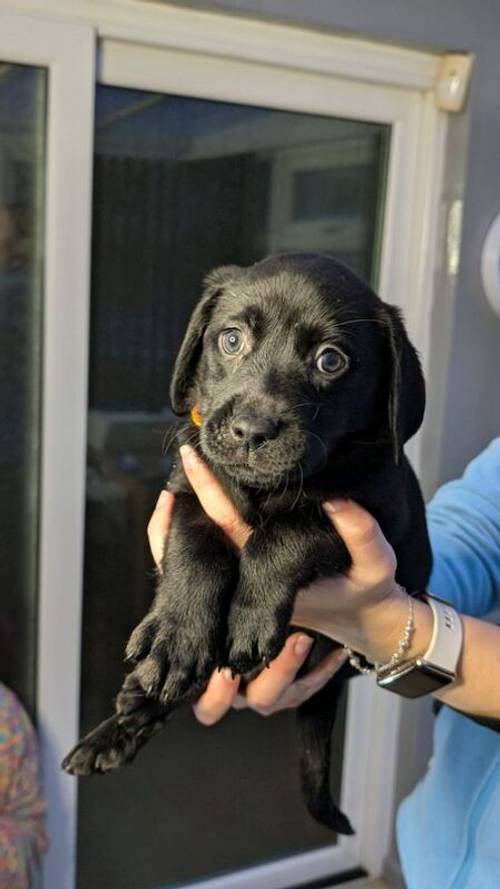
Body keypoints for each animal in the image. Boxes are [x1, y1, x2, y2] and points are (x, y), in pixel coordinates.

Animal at [62, 250, 432, 832]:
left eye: (330, 361)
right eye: (231, 340)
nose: (251, 432)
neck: (265, 489)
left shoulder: (373, 513)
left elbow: (289, 531)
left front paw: (251, 616)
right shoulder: (191, 487)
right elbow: (197, 547)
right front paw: (177, 637)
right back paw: (130, 712)